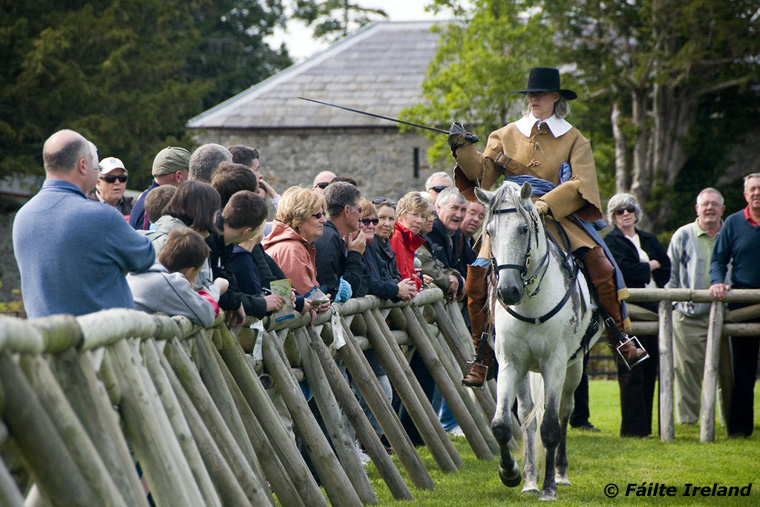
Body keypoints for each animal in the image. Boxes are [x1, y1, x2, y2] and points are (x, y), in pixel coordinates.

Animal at [478, 181, 604, 502]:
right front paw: (511, 474)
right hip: (526, 371)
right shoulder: (510, 364)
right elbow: (502, 424)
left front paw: (548, 488)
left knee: (562, 412)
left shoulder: (555, 365)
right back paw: (530, 480)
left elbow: (550, 427)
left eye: (523, 229)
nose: (508, 291)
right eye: (489, 232)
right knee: (527, 416)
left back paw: (558, 474)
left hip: (573, 369)